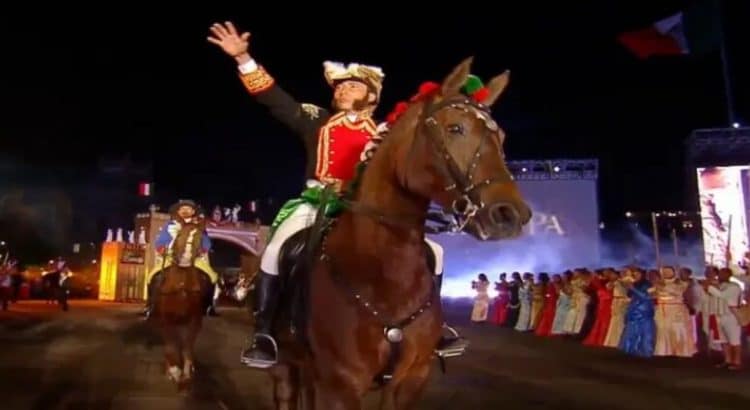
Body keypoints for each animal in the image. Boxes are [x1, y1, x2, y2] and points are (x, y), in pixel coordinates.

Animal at [154, 218, 210, 390]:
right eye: (178, 235)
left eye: (199, 238)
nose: (184, 260)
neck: (181, 286)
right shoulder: (166, 320)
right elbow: (170, 347)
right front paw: (174, 371)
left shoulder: (194, 321)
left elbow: (187, 347)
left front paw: (186, 373)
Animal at [270, 58, 536, 410]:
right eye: (455, 128)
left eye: (502, 137)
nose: (511, 215)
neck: (386, 273)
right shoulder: (341, 385)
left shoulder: (411, 379)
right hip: (285, 364)